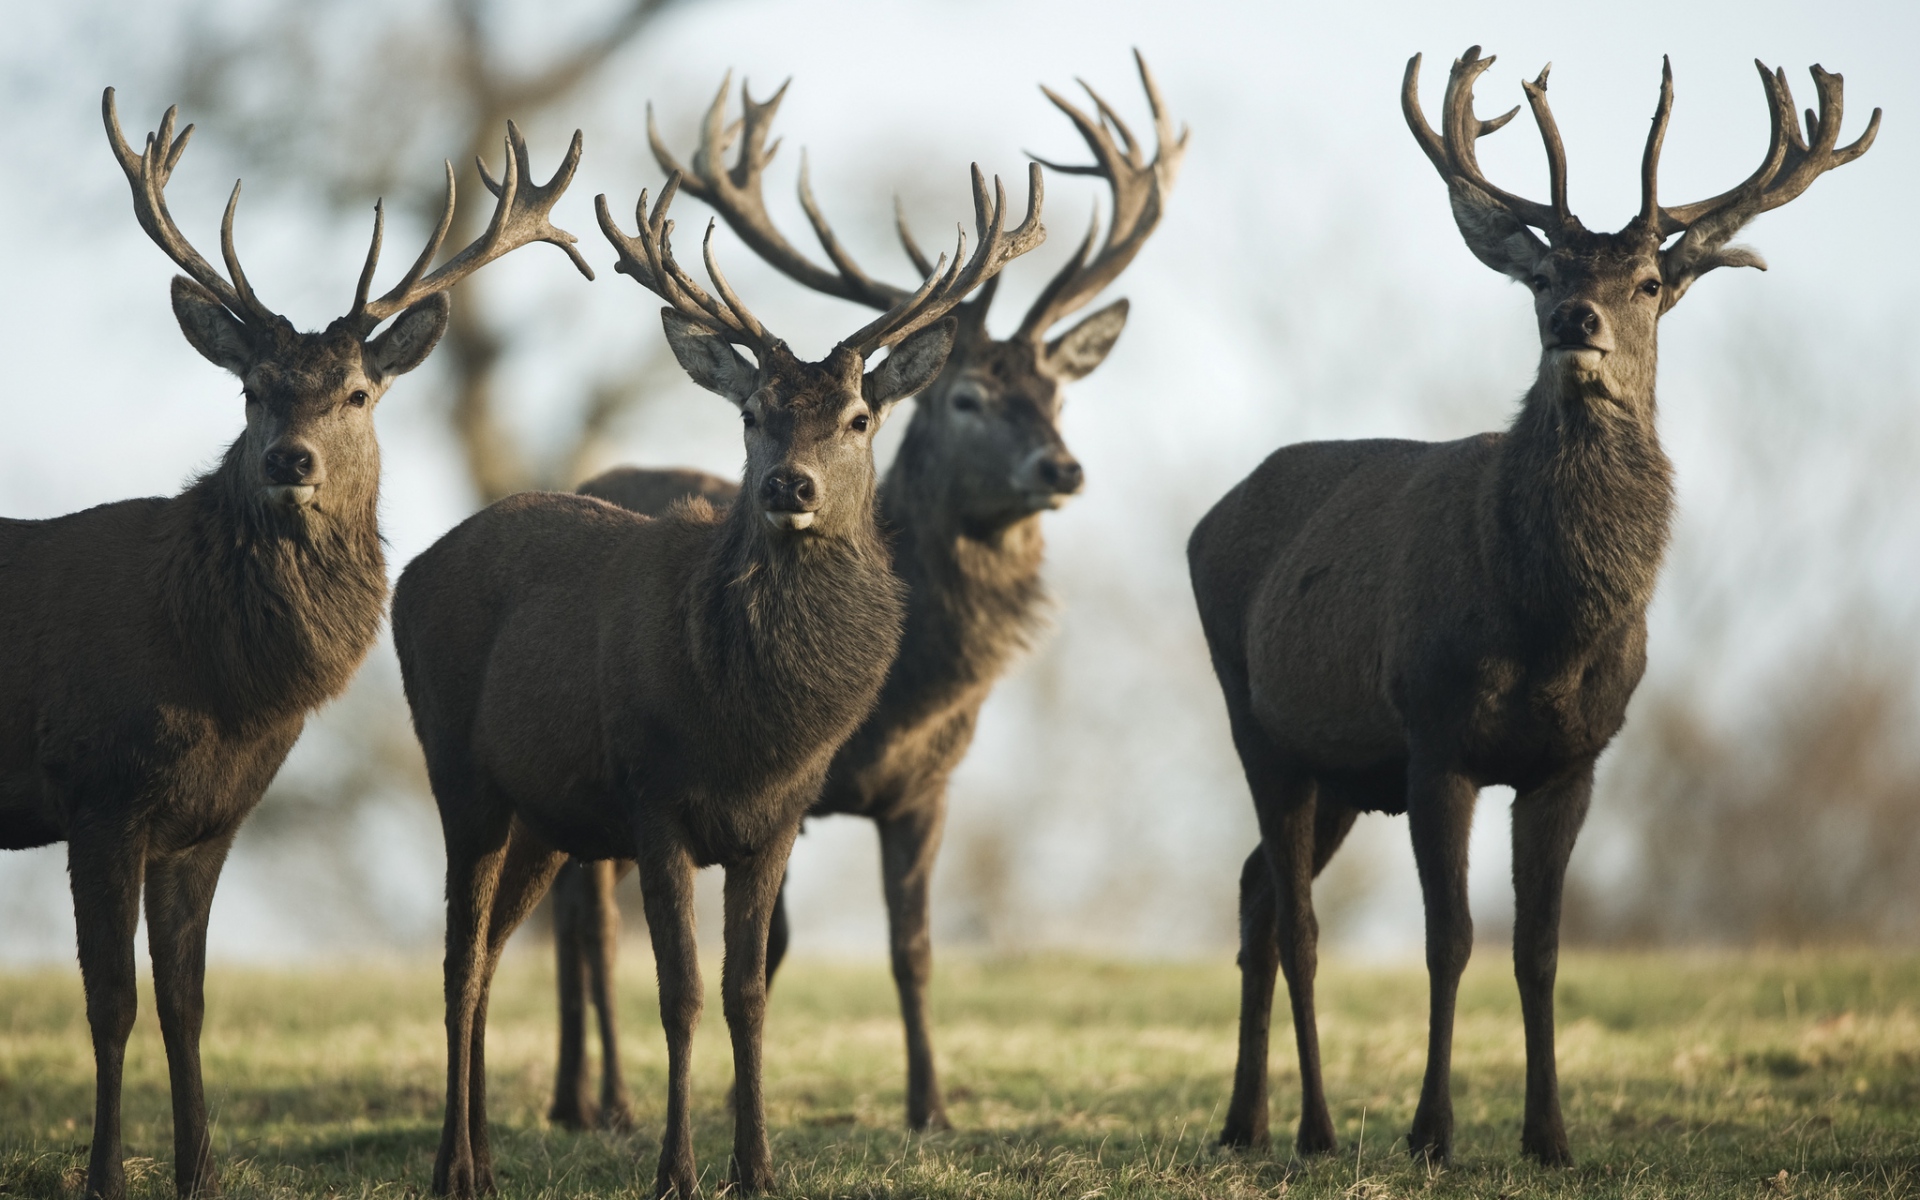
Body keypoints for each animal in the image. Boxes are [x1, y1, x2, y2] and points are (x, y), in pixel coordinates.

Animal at [0, 91, 590, 1200]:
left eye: (358, 392)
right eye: (252, 389)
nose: (289, 460)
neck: (223, 684)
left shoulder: (207, 820)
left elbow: (185, 1002)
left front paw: (198, 1173)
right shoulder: (98, 790)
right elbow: (111, 1004)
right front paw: (103, 1177)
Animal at [390, 147, 1043, 1196]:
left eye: (860, 417)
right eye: (752, 414)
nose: (790, 486)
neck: (752, 727)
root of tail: (409, 572)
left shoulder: (778, 816)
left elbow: (749, 991)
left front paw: (759, 1167)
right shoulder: (652, 797)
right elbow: (682, 992)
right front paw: (676, 1171)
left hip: (544, 817)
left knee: (488, 956)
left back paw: (487, 1154)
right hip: (460, 771)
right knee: (459, 958)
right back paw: (458, 1165)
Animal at [541, 54, 1183, 1135]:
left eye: (1057, 392)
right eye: (966, 397)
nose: (1061, 467)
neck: (908, 697)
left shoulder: (928, 786)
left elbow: (911, 949)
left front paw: (931, 1107)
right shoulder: (779, 789)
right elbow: (769, 952)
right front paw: (736, 1105)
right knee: (583, 920)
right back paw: (599, 1103)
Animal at [1188, 47, 1877, 1166]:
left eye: (1649, 281)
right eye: (1546, 275)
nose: (1574, 324)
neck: (1549, 626)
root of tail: (1207, 521)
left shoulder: (1574, 757)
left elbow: (1542, 949)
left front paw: (1549, 1134)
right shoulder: (1436, 739)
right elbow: (1450, 940)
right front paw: (1431, 1131)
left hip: (1342, 768)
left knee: (1255, 893)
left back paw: (1244, 1123)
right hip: (1260, 722)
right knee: (1296, 921)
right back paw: (1315, 1127)